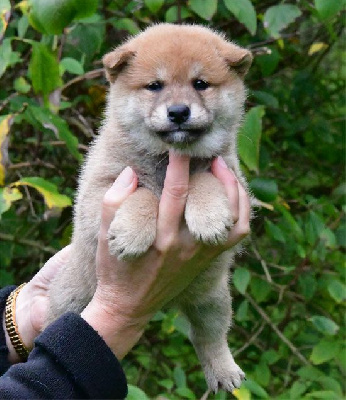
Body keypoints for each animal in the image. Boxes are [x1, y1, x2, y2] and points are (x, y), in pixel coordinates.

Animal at [48, 23, 251, 392]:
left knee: (209, 339)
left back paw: (224, 372)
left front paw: (209, 218)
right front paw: (131, 234)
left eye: (200, 84)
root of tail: (167, 305)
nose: (179, 112)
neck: (167, 158)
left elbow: (204, 179)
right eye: (155, 85)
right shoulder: (100, 188)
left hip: (212, 300)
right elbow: (143, 195)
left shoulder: (232, 178)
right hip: (71, 300)